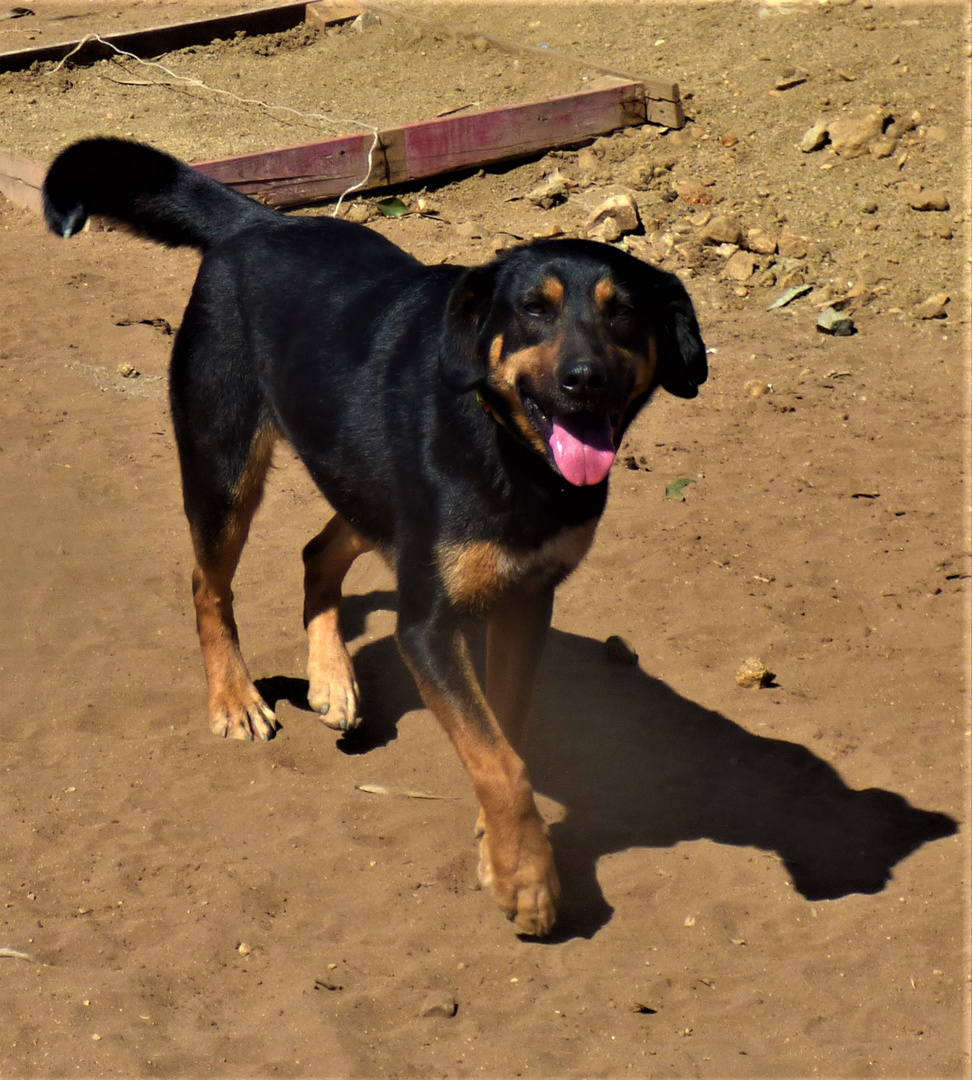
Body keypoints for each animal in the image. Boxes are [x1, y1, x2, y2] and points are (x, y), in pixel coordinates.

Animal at [43, 139, 704, 937]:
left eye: (625, 315)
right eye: (533, 310)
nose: (587, 380)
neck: (508, 451)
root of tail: (261, 222)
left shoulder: (525, 602)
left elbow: (507, 734)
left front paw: (499, 850)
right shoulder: (426, 623)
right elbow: (500, 760)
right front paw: (528, 880)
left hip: (362, 479)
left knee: (316, 553)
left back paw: (331, 678)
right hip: (227, 470)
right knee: (208, 583)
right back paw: (234, 697)